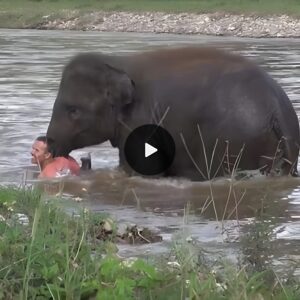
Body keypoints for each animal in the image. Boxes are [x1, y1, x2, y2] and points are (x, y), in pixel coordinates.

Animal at [45, 47, 298, 180]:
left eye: (73, 110)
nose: (47, 145)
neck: (116, 62)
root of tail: (276, 111)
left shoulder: (140, 123)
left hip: (232, 142)